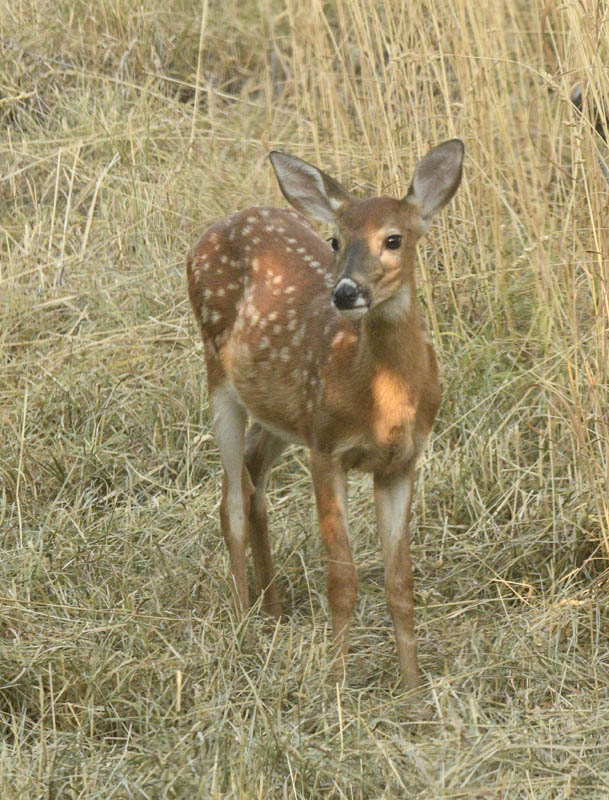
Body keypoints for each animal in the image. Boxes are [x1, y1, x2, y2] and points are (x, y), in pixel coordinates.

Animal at [186, 139, 464, 688]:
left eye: (394, 239)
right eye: (335, 240)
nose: (345, 292)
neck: (381, 398)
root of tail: (216, 227)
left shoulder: (402, 461)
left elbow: (400, 581)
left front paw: (414, 692)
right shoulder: (326, 449)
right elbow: (343, 577)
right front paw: (335, 683)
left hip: (283, 410)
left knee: (252, 474)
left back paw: (272, 610)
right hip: (219, 374)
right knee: (231, 498)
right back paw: (244, 626)